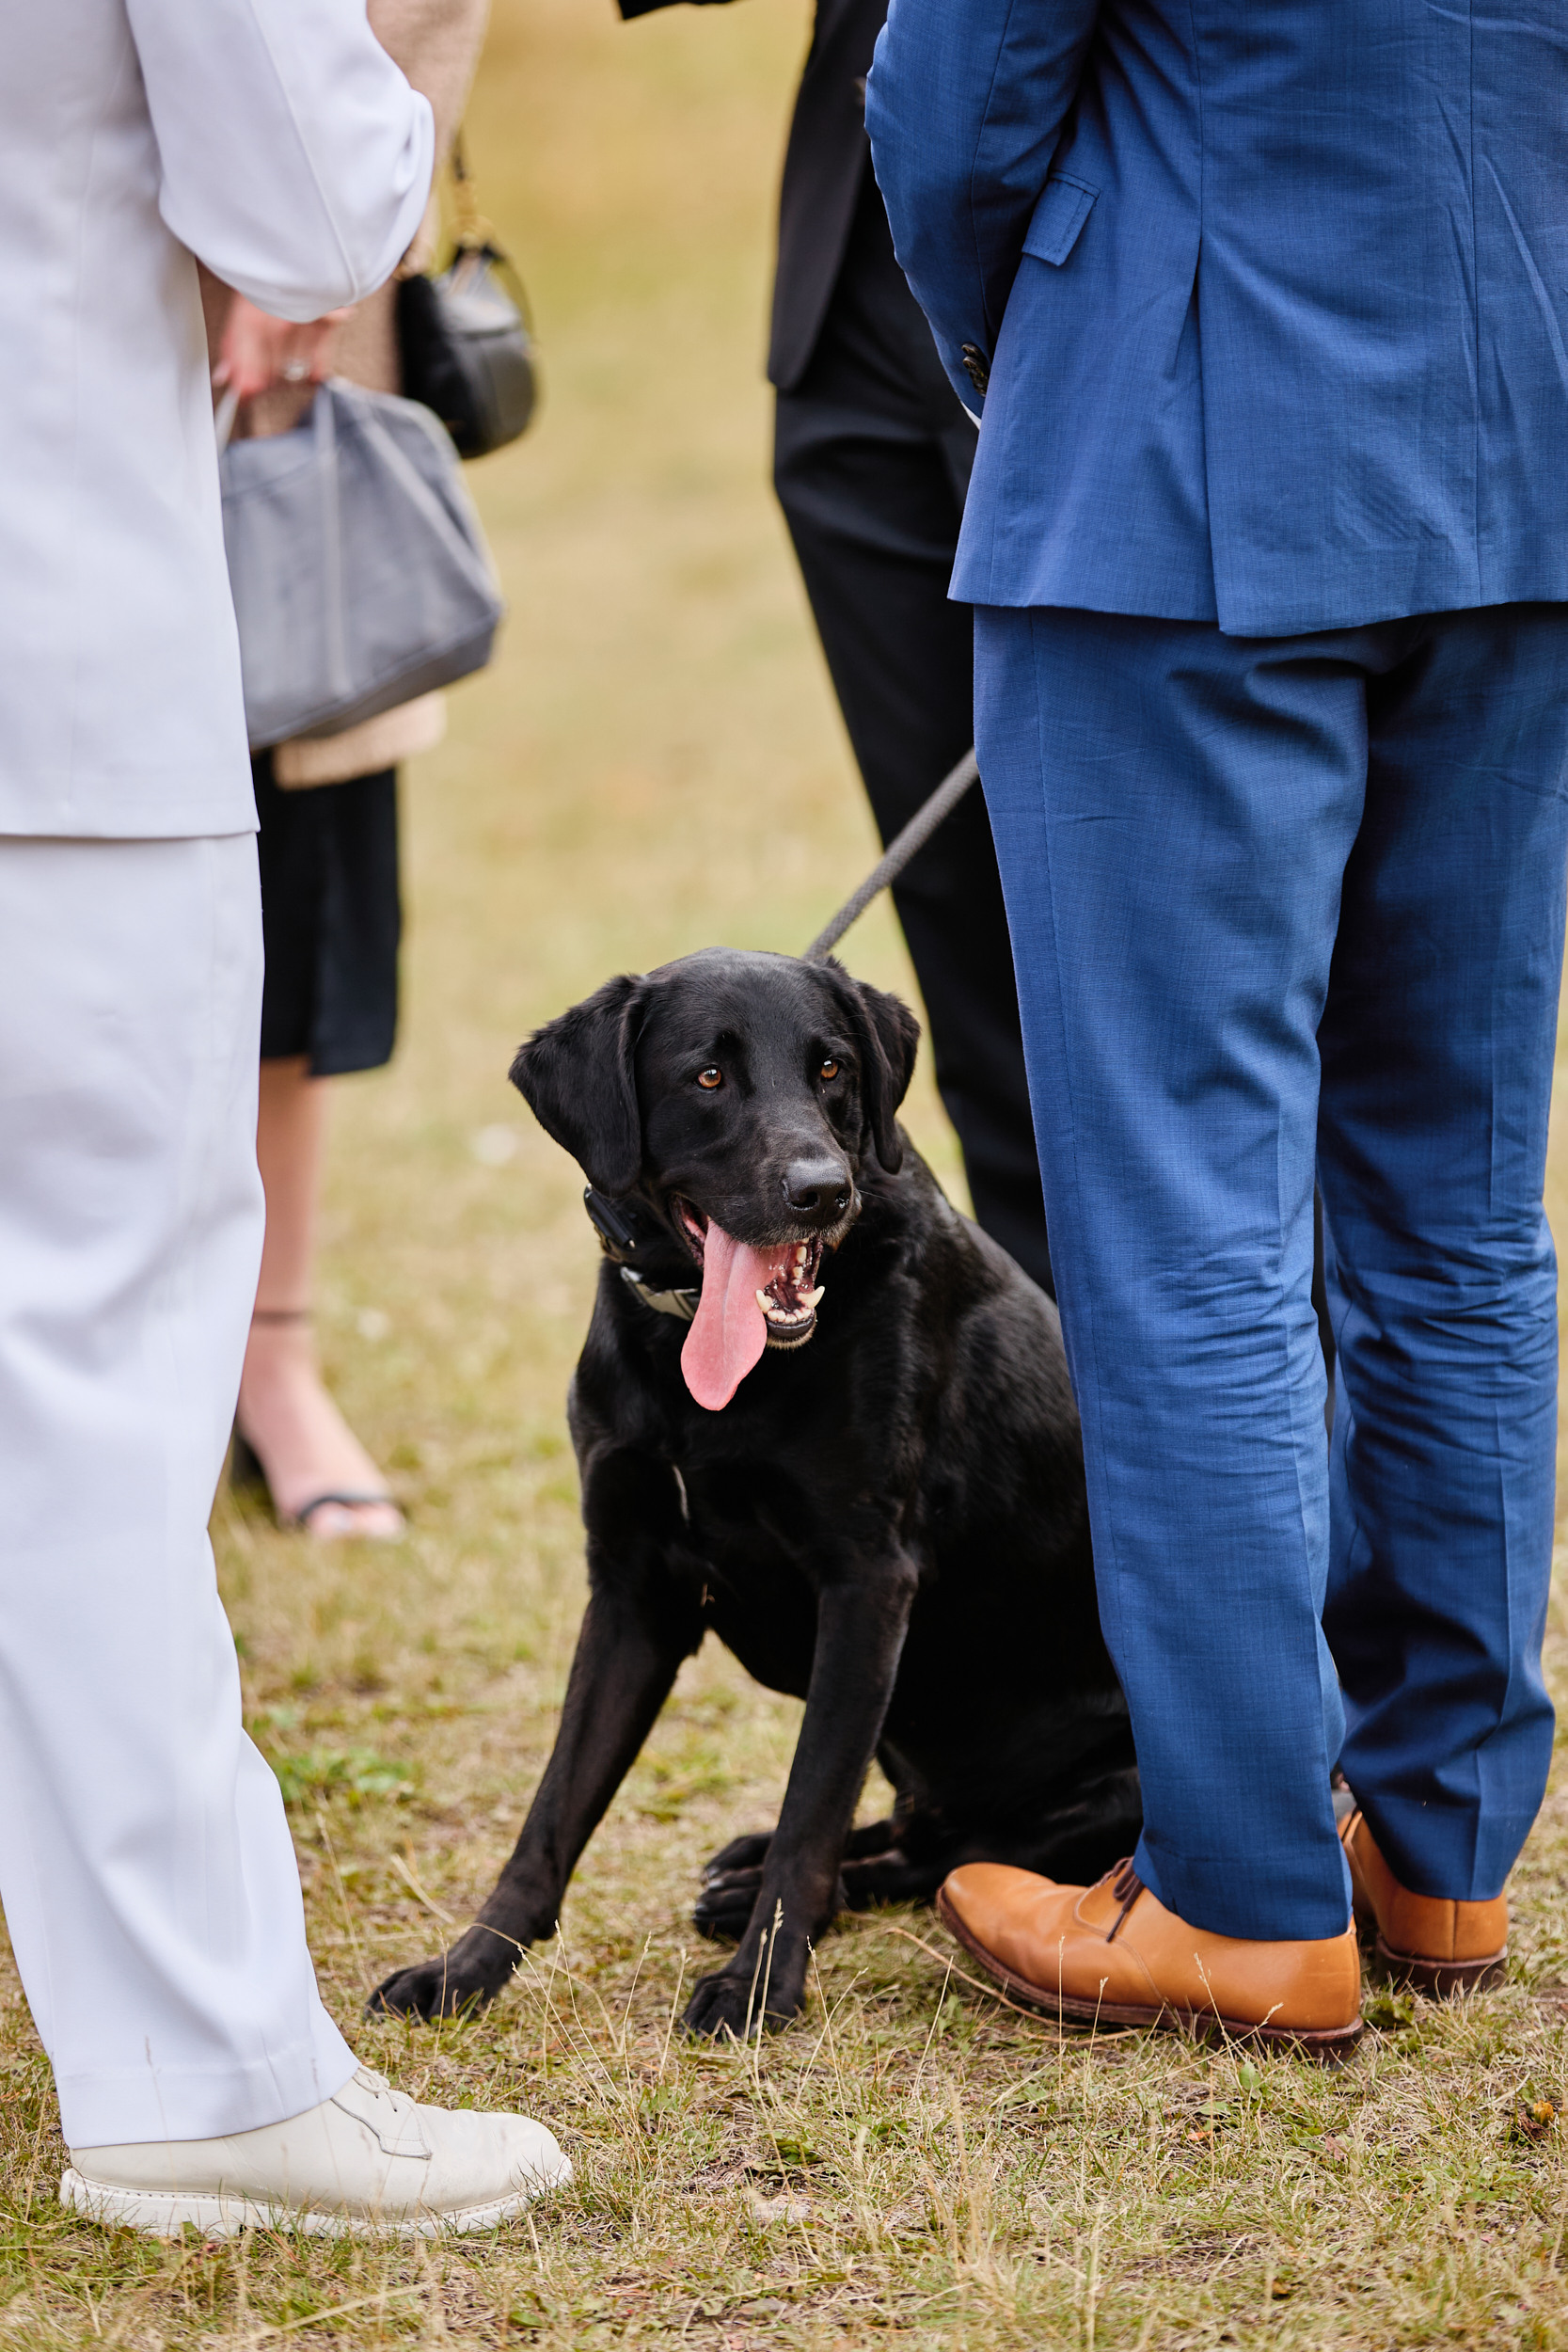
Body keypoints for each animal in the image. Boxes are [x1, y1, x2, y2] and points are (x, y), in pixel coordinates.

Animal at [380, 946, 1142, 2032]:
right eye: (707, 1076)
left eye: (831, 1070)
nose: (821, 1190)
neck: (699, 1365)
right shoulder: (632, 1590)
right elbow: (550, 1812)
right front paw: (464, 1968)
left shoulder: (866, 1586)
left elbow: (808, 1814)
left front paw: (755, 1987)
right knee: (921, 1833)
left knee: (954, 1859)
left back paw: (756, 1895)